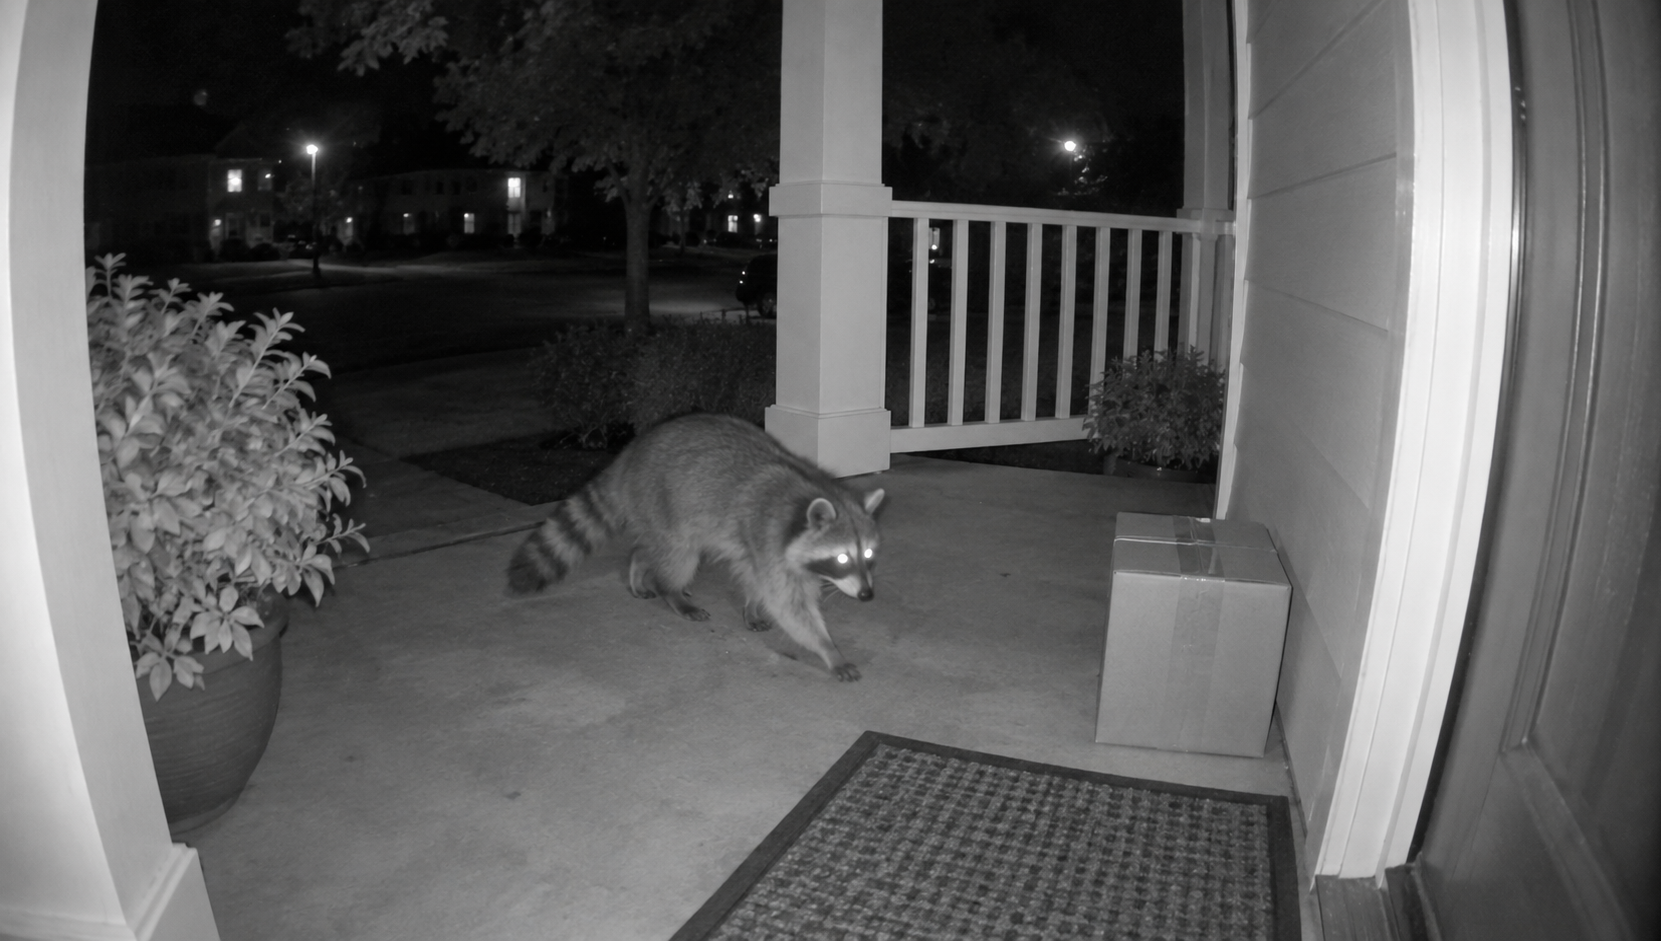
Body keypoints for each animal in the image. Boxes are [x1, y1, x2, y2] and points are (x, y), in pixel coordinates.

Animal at [507, 413, 884, 681]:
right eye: (841, 557)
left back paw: (639, 564)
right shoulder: (767, 538)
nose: (868, 596)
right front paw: (829, 649)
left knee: (655, 546)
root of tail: (630, 453)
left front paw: (751, 605)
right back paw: (670, 590)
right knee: (679, 553)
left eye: (867, 555)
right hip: (661, 497)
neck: (806, 494)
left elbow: (755, 580)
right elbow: (789, 606)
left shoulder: (760, 548)